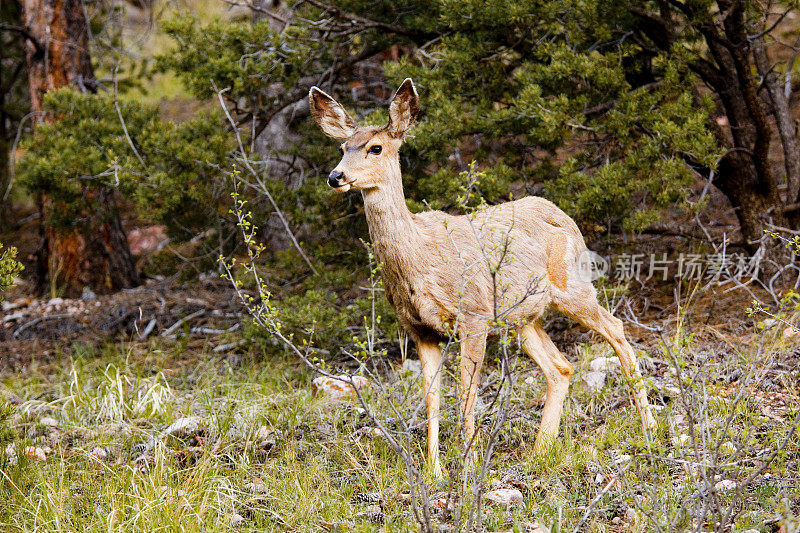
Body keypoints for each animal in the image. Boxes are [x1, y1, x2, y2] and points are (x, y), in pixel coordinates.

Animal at [308, 77, 656, 476]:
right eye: (341, 147)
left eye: (375, 147)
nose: (336, 176)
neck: (417, 260)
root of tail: (564, 217)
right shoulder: (420, 330)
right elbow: (432, 398)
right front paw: (435, 471)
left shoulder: (472, 315)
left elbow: (467, 393)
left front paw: (469, 467)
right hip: (523, 318)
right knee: (561, 367)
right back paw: (540, 451)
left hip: (570, 286)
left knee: (615, 328)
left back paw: (650, 427)